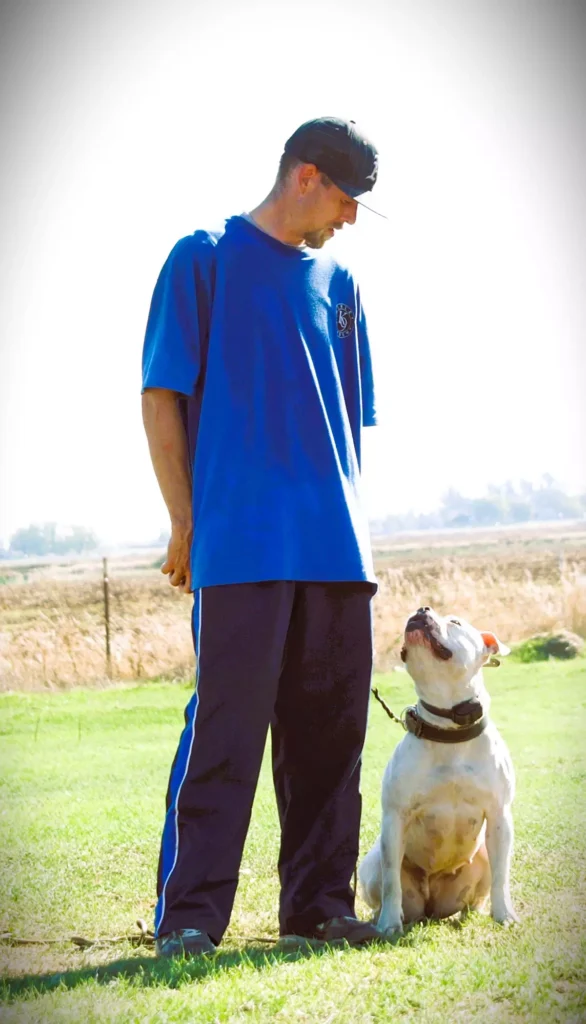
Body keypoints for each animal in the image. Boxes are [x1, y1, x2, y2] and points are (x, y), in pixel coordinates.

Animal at [358, 606, 520, 937]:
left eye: (455, 622)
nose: (422, 609)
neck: (448, 727)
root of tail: (431, 908)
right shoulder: (394, 817)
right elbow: (391, 878)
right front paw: (389, 924)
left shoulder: (499, 816)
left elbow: (502, 875)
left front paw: (504, 914)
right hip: (372, 862)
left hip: (481, 856)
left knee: (476, 896)